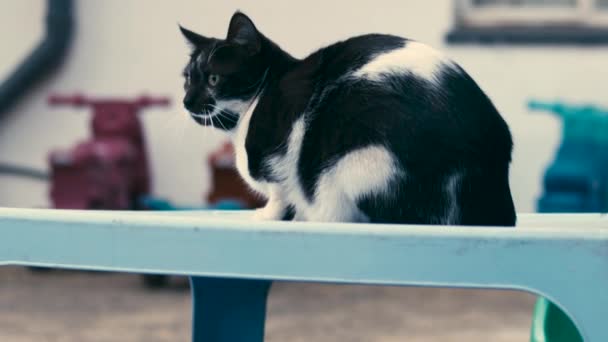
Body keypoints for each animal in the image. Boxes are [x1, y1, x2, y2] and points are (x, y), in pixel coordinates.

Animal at [182, 12, 516, 226]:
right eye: (187, 79)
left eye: (213, 79)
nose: (186, 101)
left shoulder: (277, 149)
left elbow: (279, 190)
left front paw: (269, 213)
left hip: (361, 160)